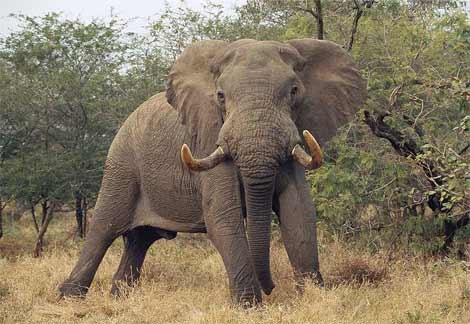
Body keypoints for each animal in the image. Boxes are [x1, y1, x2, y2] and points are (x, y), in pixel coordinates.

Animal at [58, 38, 366, 306]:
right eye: (220, 96)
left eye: (294, 92)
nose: (271, 288)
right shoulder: (208, 137)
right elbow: (223, 217)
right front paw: (249, 307)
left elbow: (299, 213)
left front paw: (315, 298)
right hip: (121, 165)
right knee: (104, 229)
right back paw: (69, 299)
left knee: (139, 240)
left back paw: (119, 297)